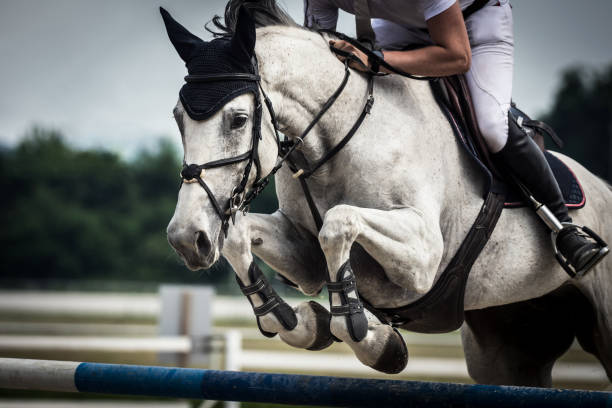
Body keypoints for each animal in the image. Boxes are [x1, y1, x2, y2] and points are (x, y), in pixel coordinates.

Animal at [164, 2, 612, 386]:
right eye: (178, 118)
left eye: (238, 119)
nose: (186, 239)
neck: (339, 139)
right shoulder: (304, 255)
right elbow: (239, 238)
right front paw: (297, 321)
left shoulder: (424, 258)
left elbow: (338, 223)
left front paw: (369, 337)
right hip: (508, 343)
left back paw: (577, 244)